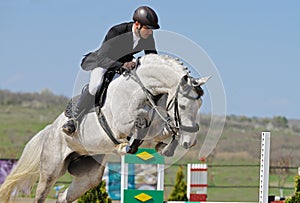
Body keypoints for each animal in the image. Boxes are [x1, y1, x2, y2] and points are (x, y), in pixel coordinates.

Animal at [0, 53, 210, 202]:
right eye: (183, 106)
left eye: (200, 105)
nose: (190, 142)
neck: (141, 89)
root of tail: (50, 129)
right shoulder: (121, 125)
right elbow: (139, 127)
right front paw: (126, 146)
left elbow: (161, 132)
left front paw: (166, 146)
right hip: (52, 169)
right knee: (42, 193)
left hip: (88, 177)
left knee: (63, 197)